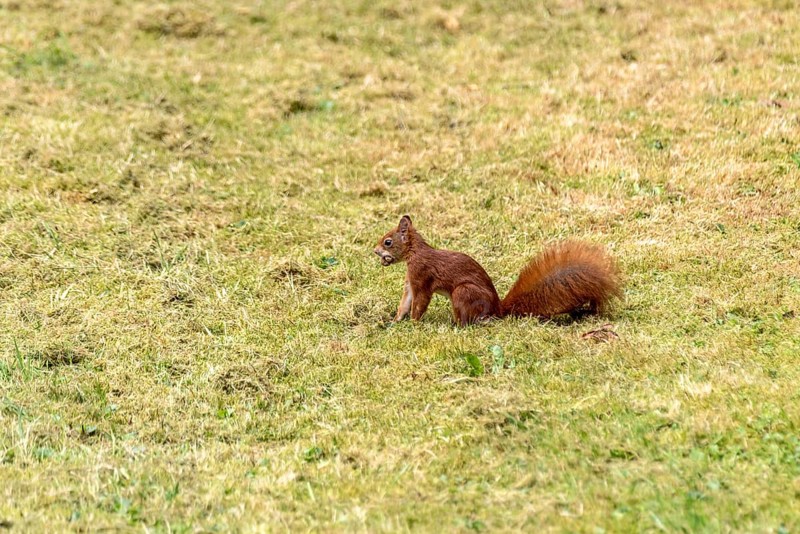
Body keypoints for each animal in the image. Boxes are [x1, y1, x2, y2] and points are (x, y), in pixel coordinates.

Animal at [374, 215, 622, 326]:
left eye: (387, 242)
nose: (375, 251)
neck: (414, 252)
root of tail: (498, 309)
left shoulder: (422, 277)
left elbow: (419, 303)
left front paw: (414, 324)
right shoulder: (411, 282)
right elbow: (405, 302)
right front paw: (396, 320)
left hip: (463, 292)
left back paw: (457, 325)